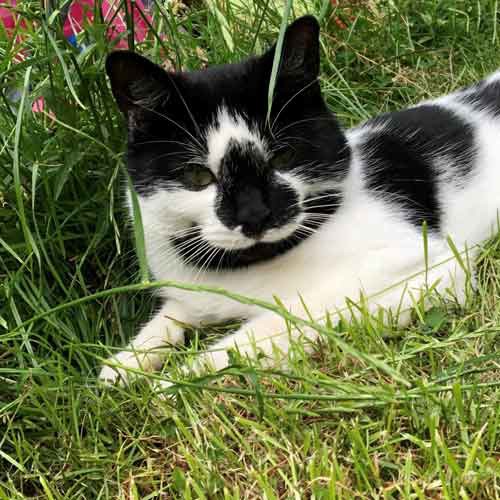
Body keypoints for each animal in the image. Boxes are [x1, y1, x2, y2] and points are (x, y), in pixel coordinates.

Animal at [99, 13, 500, 384]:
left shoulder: (431, 268)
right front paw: (123, 365)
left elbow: (285, 318)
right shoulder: (188, 289)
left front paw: (180, 379)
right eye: (198, 177)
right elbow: (172, 314)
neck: (245, 268)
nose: (255, 215)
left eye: (284, 157)